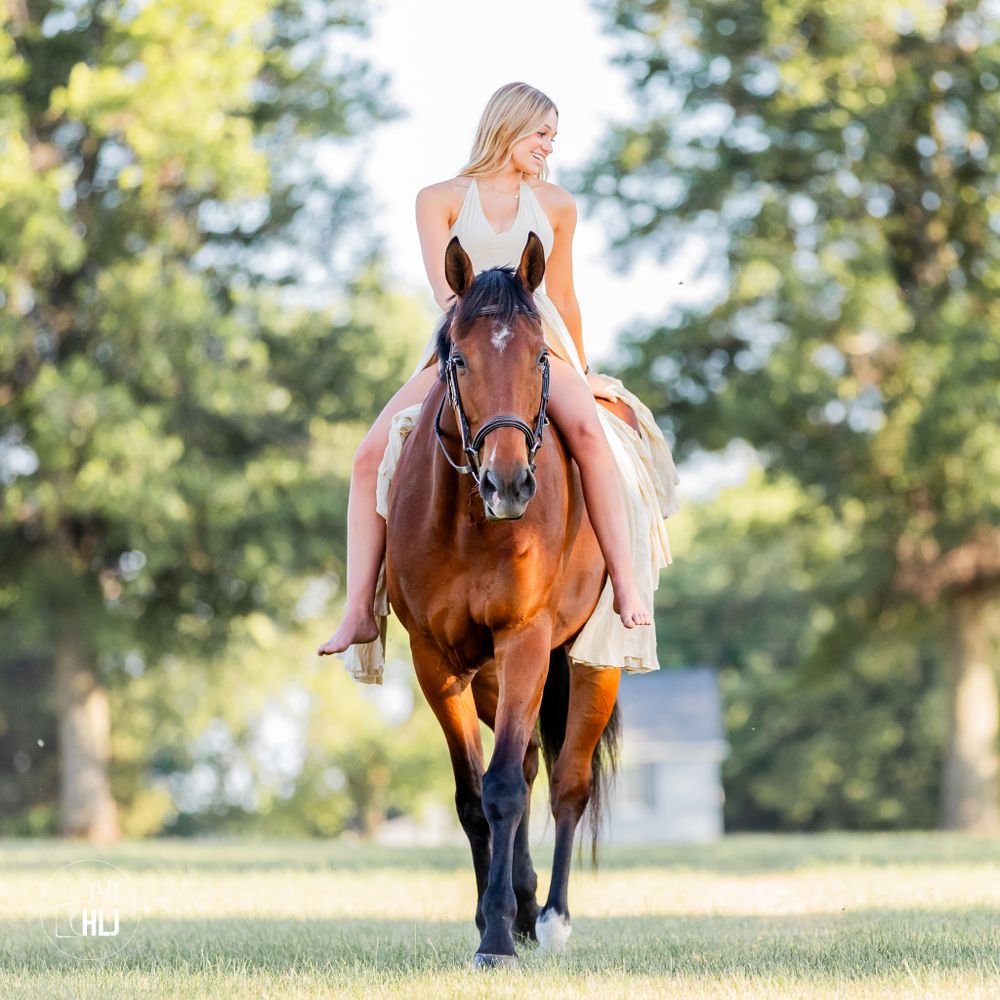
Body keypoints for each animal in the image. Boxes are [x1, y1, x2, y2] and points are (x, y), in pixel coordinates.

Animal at [385, 232, 625, 968]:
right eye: (458, 358)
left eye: (540, 357)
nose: (509, 484)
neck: (471, 524)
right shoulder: (435, 659)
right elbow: (475, 796)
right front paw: (491, 920)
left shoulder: (524, 640)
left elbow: (502, 791)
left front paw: (496, 936)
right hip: (495, 677)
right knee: (525, 763)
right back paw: (521, 904)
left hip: (590, 666)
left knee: (567, 782)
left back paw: (550, 917)